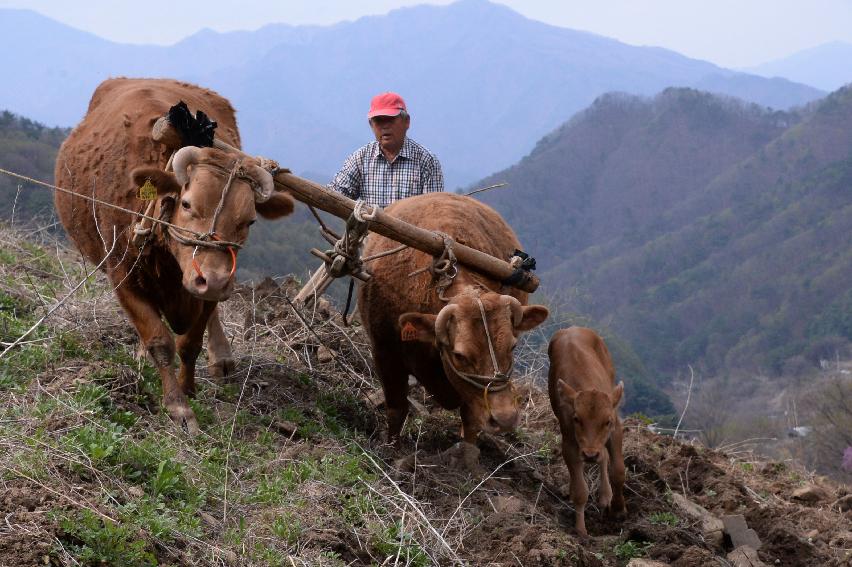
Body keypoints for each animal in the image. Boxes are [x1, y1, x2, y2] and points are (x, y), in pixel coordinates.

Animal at [548, 326, 624, 536]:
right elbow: (580, 491)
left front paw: (618, 510)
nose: (590, 455)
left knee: (604, 456)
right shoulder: (569, 442)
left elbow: (618, 471)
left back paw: (606, 496)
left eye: (607, 421)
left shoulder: (615, 429)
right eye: (576, 419)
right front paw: (581, 530)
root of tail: (571, 328)